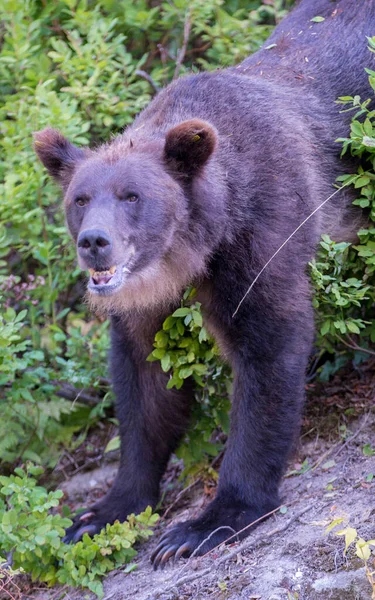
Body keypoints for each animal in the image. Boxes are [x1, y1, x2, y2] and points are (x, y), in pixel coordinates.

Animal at [35, 0, 375, 568]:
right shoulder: (145, 302)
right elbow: (145, 382)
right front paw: (99, 514)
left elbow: (268, 348)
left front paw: (203, 524)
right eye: (80, 199)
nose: (94, 242)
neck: (191, 249)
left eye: (132, 196)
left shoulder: (263, 231)